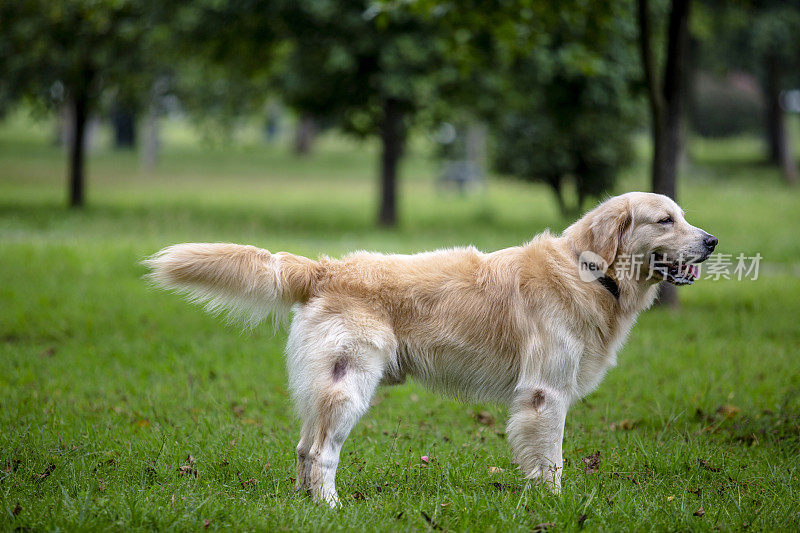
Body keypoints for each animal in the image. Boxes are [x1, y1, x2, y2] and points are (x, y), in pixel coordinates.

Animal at [144, 190, 720, 502]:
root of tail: (327, 268)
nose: (712, 241)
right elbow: (551, 461)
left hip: (321, 386)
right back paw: (333, 510)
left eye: (683, 216)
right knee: (323, 453)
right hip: (349, 384)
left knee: (305, 450)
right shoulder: (545, 394)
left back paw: (308, 507)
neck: (594, 274)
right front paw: (554, 506)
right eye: (665, 220)